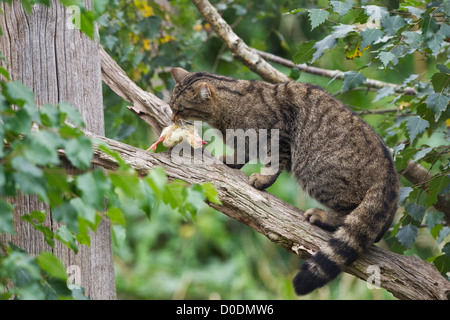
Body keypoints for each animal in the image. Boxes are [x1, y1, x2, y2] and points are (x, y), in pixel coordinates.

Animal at [168, 67, 398, 296]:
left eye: (179, 109)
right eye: (171, 106)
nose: (172, 117)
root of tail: (389, 171)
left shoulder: (280, 137)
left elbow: (272, 163)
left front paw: (262, 179)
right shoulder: (248, 142)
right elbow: (243, 153)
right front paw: (232, 160)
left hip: (314, 171)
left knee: (350, 209)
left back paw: (322, 216)